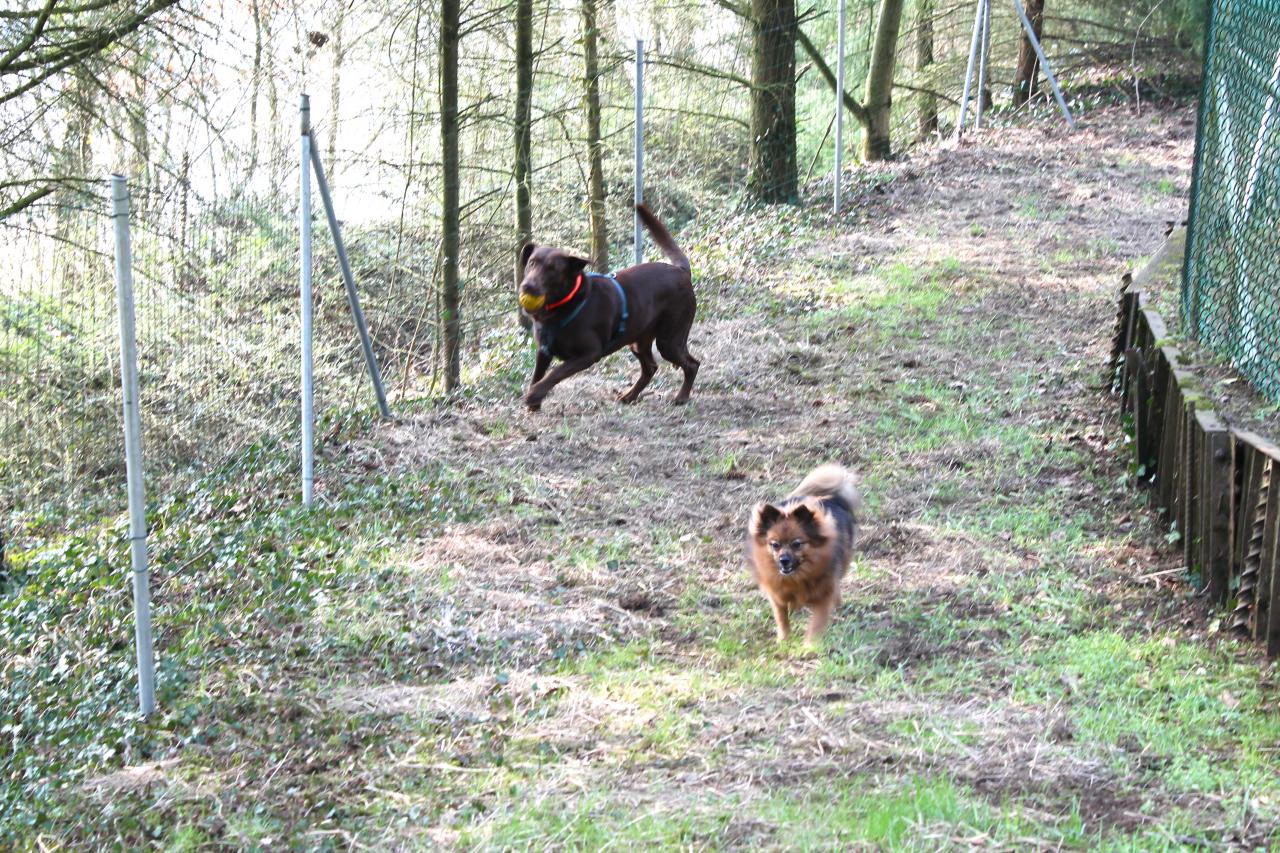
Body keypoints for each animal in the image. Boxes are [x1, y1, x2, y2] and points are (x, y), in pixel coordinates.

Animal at [747, 466, 860, 637]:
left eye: (797, 544)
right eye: (775, 545)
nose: (783, 560)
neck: (797, 577)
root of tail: (832, 497)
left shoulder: (823, 596)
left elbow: (815, 625)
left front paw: (810, 643)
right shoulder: (777, 596)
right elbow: (782, 618)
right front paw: (784, 638)